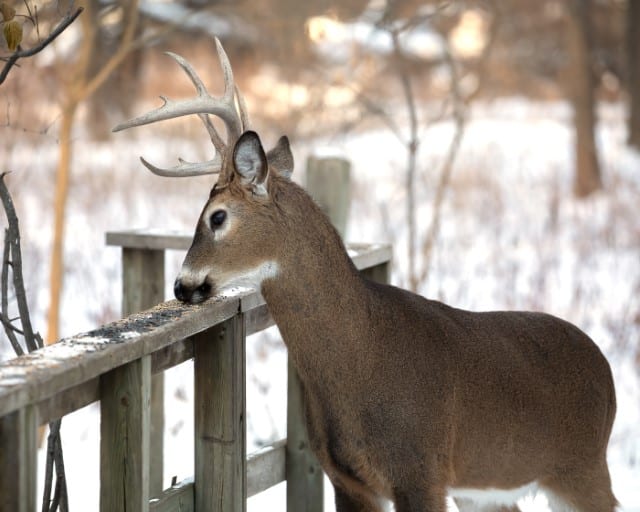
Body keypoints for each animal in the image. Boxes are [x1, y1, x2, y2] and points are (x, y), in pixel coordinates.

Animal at [112, 37, 616, 512]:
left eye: (217, 217)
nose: (182, 285)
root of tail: (607, 372)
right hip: (489, 489)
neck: (363, 361)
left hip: (582, 467)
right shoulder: (346, 479)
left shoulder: (420, 470)